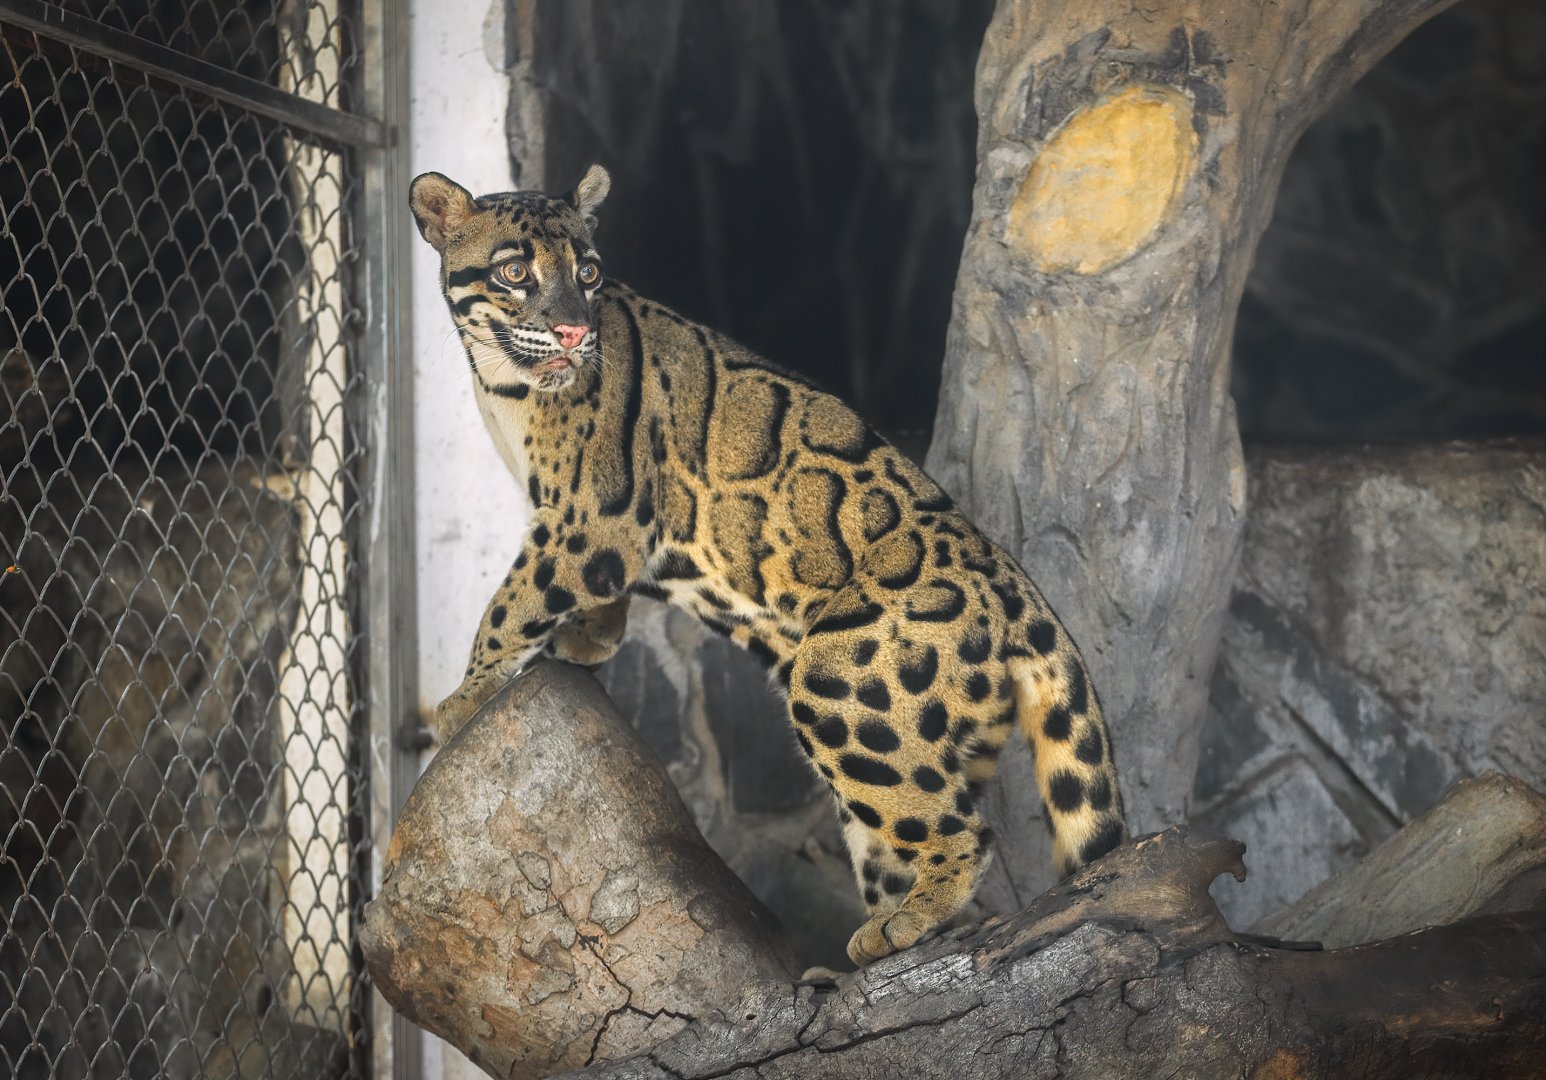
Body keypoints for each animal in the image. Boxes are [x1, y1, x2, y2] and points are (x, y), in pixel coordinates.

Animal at [410, 165, 1127, 966]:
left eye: (587, 273)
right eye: (515, 272)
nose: (573, 330)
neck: (501, 382)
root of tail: (1013, 583)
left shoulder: (594, 517)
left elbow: (512, 601)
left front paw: (464, 697)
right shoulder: (589, 533)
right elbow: (573, 595)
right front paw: (589, 637)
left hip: (841, 683)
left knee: (962, 830)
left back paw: (904, 924)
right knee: (903, 831)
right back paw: (876, 942)